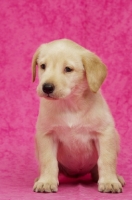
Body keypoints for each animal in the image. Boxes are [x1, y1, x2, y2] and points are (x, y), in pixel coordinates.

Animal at [31, 39, 125, 194]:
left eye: (68, 69)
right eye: (43, 66)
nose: (47, 87)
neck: (70, 105)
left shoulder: (104, 133)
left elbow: (106, 160)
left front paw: (109, 182)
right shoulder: (46, 135)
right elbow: (48, 160)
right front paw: (46, 182)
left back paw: (116, 177)